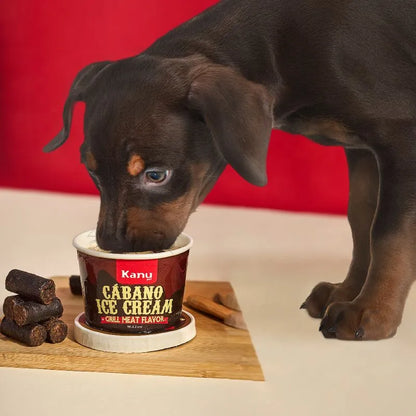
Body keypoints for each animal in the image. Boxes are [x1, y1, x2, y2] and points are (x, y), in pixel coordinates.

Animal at [44, 0, 416, 340]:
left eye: (156, 175)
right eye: (93, 173)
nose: (110, 245)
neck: (280, 47)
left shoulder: (401, 135)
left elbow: (387, 233)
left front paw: (373, 311)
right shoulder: (360, 149)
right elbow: (361, 222)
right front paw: (348, 292)